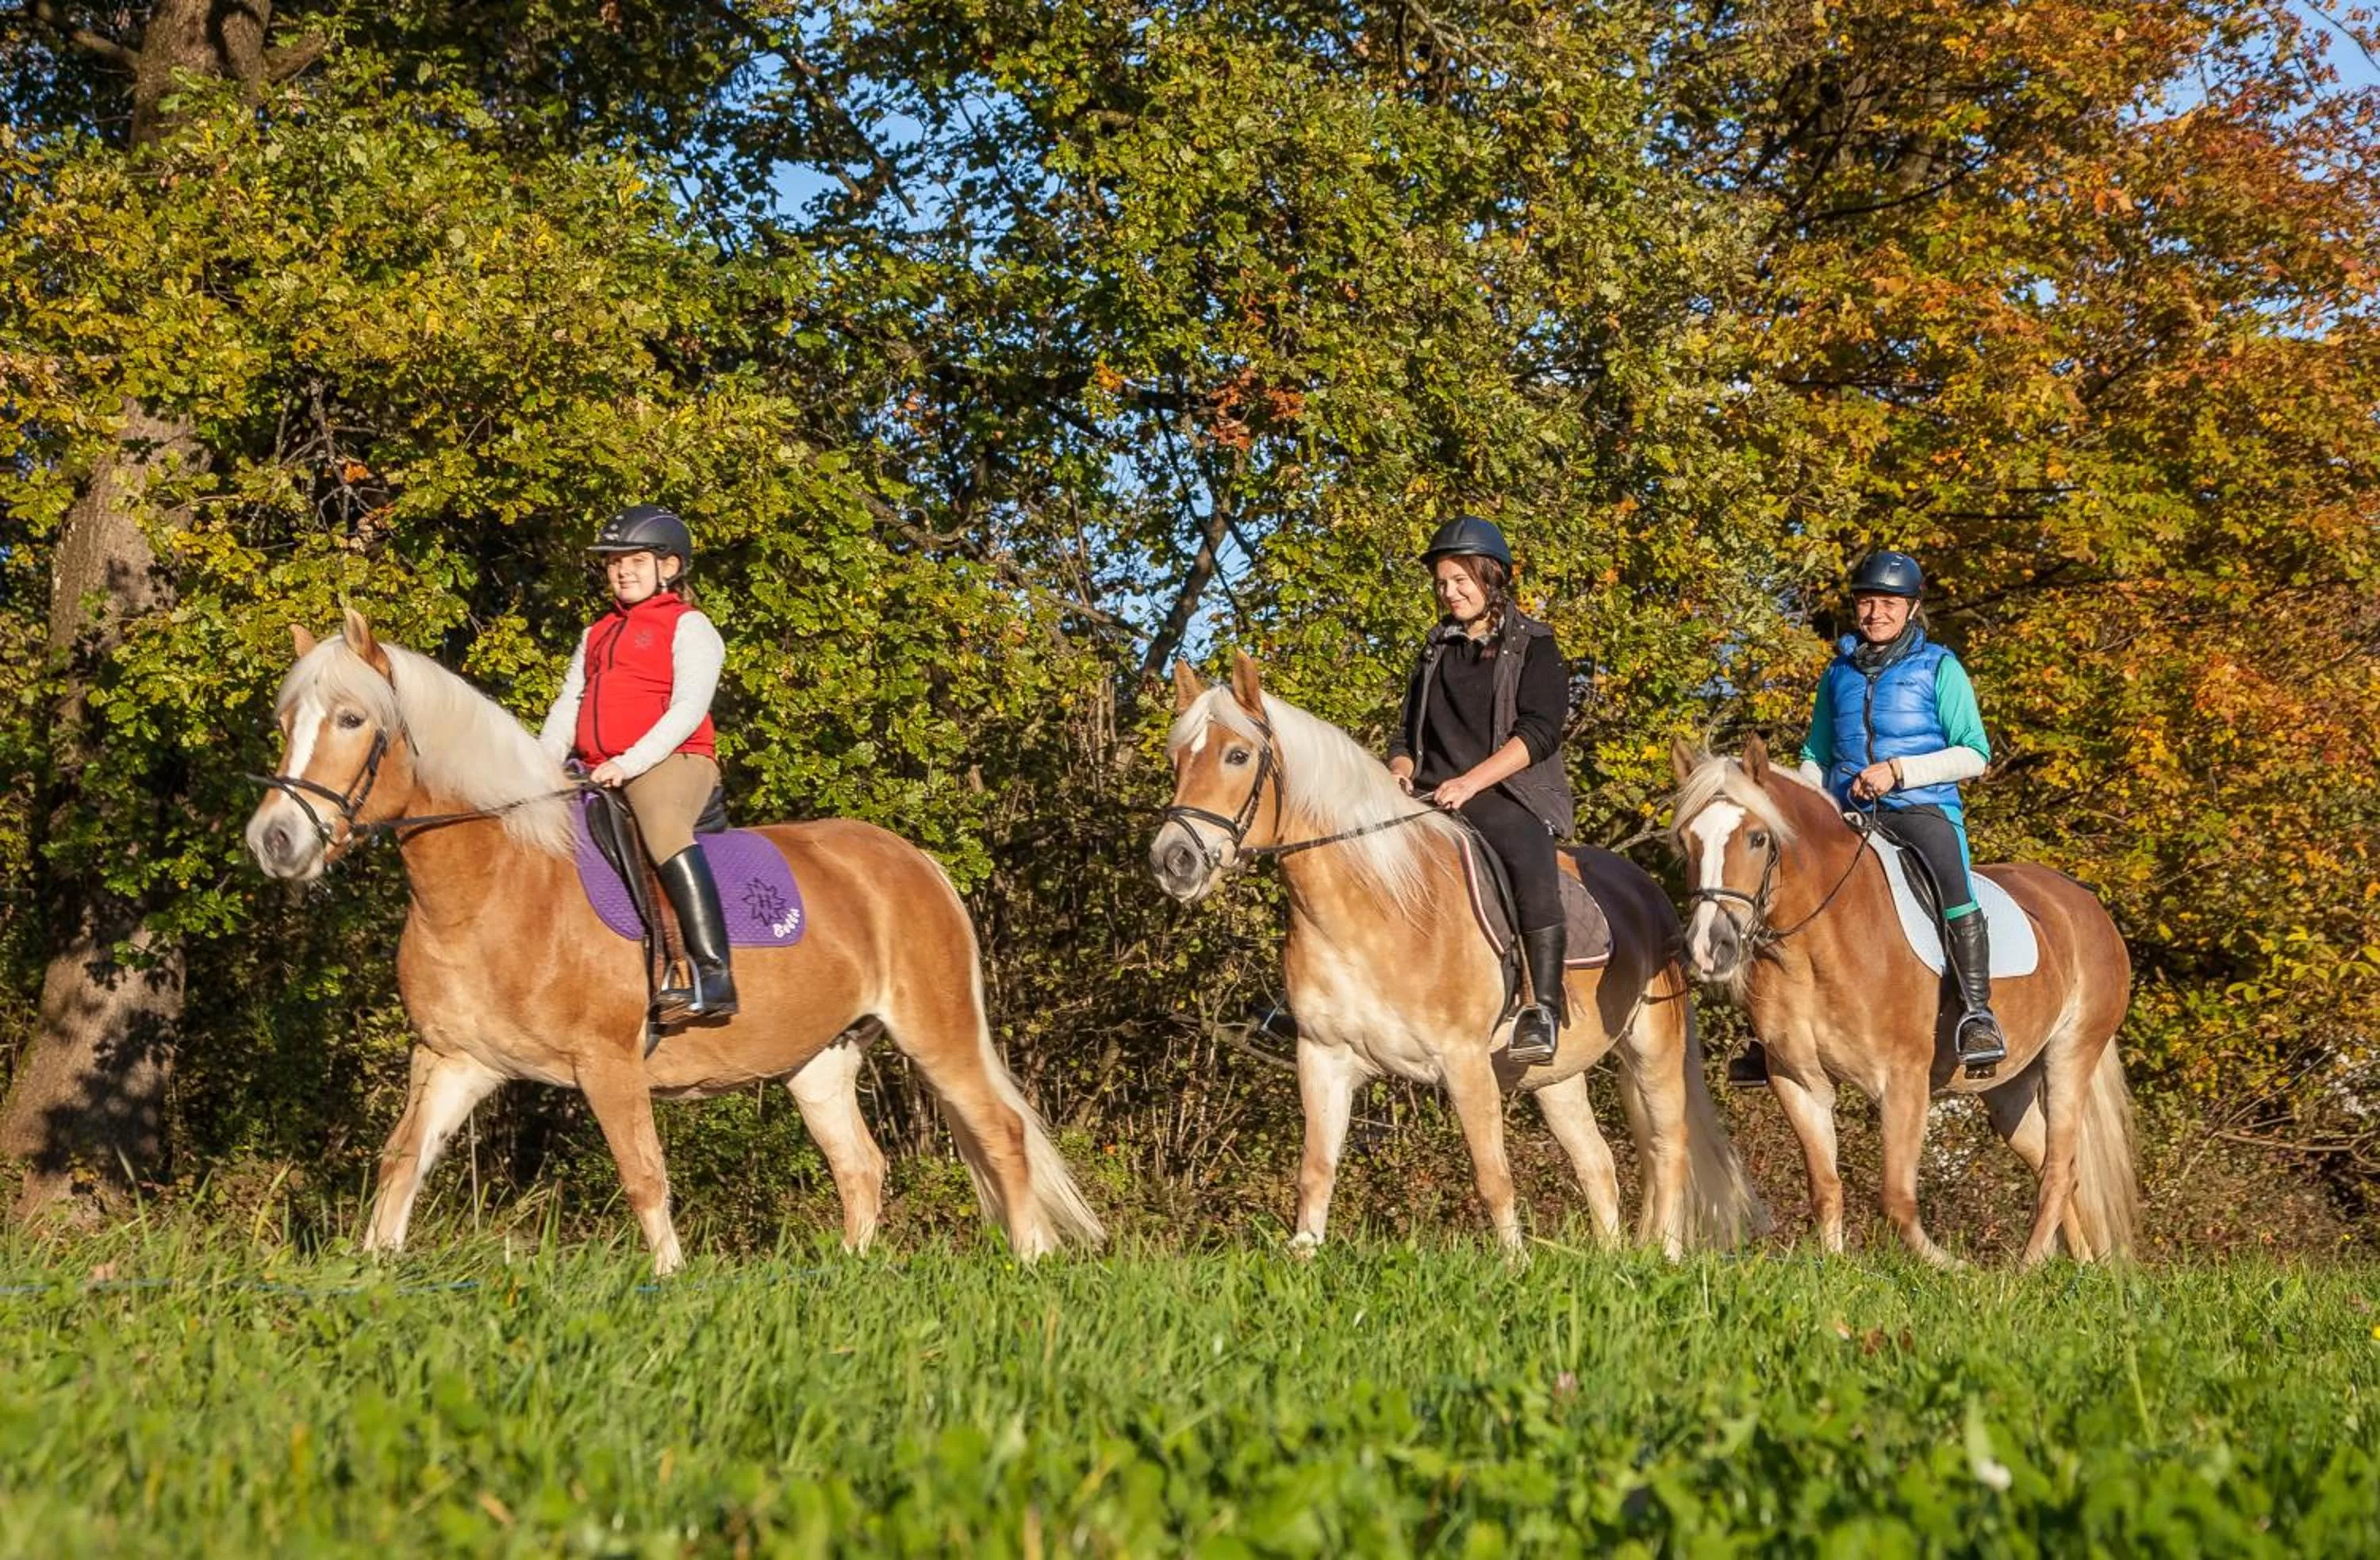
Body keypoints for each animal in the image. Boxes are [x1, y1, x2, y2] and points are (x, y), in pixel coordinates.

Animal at [243, 609, 1104, 1273]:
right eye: (284, 725)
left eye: (353, 719)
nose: (276, 840)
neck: (495, 884)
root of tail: (914, 861)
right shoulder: (454, 1059)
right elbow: (401, 1161)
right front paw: (373, 1267)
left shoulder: (608, 1062)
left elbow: (643, 1175)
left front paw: (668, 1280)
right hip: (820, 1059)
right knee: (860, 1166)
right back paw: (850, 1272)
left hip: (935, 1030)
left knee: (1000, 1132)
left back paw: (1032, 1261)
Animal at [1151, 653, 1767, 1256]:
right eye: (1176, 757)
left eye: (1237, 755)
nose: (1174, 860)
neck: (1379, 908)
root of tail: (1646, 890)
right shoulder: (1323, 1057)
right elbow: (1316, 1173)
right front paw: (1303, 1265)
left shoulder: (1465, 1062)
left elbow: (1494, 1178)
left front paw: (1514, 1269)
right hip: (1555, 1074)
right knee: (1598, 1164)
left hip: (1653, 1050)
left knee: (1667, 1150)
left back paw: (1665, 1256)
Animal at [1668, 736, 2137, 1265]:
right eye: (1687, 840)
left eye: (1757, 838)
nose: (1710, 947)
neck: (1816, 948)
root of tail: (2086, 903)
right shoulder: (1798, 1081)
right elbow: (1826, 1187)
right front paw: (1834, 1265)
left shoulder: (1903, 1082)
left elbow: (1896, 1198)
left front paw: (1952, 1268)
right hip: (2009, 1087)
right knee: (2060, 1171)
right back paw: (2081, 1267)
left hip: (2070, 1057)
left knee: (2057, 1173)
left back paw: (2024, 1270)